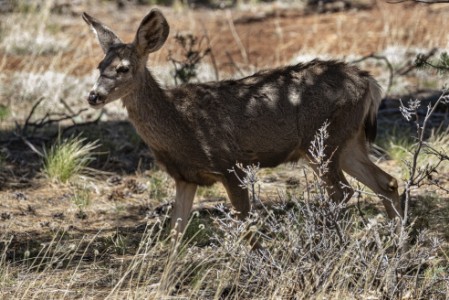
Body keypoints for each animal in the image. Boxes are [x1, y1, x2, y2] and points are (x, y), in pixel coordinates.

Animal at [82, 8, 404, 234]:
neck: (181, 126)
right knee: (386, 182)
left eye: (123, 68)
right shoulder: (185, 177)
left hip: (322, 141)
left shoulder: (229, 164)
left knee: (342, 192)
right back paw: (397, 238)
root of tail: (369, 82)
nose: (93, 96)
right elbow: (175, 232)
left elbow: (244, 225)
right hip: (347, 142)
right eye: (99, 66)